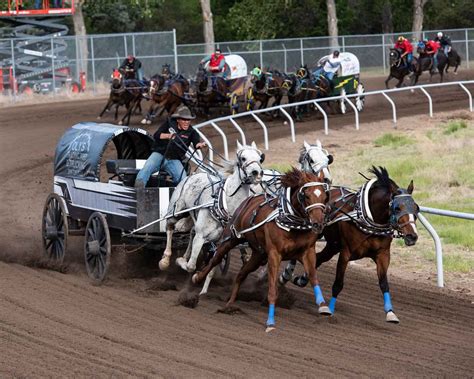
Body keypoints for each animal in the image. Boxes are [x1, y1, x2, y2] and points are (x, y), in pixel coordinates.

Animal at [158, 142, 262, 288]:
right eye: (243, 158)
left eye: (260, 158)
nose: (257, 173)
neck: (225, 207)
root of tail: (193, 175)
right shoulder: (201, 236)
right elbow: (190, 266)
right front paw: (180, 262)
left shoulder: (221, 243)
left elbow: (211, 270)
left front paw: (202, 287)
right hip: (177, 212)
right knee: (170, 227)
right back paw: (165, 260)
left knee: (191, 232)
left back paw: (184, 255)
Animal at [191, 169, 332, 332]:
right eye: (306, 195)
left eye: (324, 196)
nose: (318, 224)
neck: (290, 222)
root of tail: (248, 200)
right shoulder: (274, 255)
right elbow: (272, 290)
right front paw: (270, 322)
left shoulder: (307, 252)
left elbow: (313, 277)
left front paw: (323, 306)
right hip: (230, 239)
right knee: (215, 260)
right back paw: (198, 278)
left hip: (258, 256)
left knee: (241, 274)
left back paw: (230, 304)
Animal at [282, 168, 418, 326]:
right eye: (397, 208)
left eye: (416, 208)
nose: (412, 236)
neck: (367, 218)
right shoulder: (346, 253)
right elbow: (338, 283)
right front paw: (330, 309)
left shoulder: (383, 254)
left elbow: (384, 283)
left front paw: (390, 313)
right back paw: (286, 274)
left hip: (332, 245)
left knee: (319, 258)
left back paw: (301, 279)